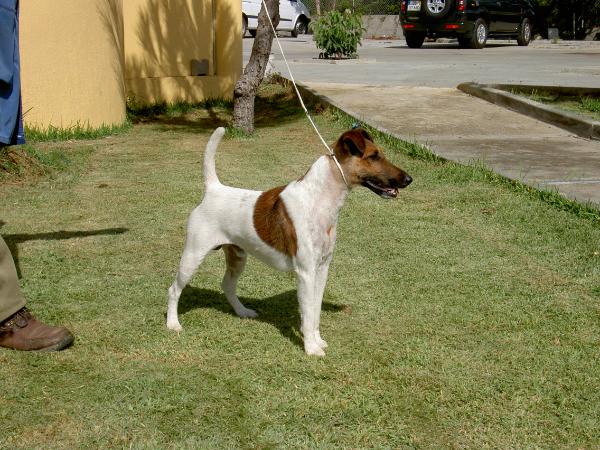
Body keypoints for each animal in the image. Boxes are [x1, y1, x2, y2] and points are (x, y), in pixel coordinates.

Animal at [169, 126, 412, 356]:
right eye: (373, 156)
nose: (409, 179)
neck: (319, 201)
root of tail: (214, 189)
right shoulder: (305, 273)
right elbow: (308, 313)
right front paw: (311, 349)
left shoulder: (321, 269)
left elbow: (315, 312)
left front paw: (317, 341)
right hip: (193, 255)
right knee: (174, 290)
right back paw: (173, 324)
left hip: (237, 255)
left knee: (227, 285)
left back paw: (243, 312)